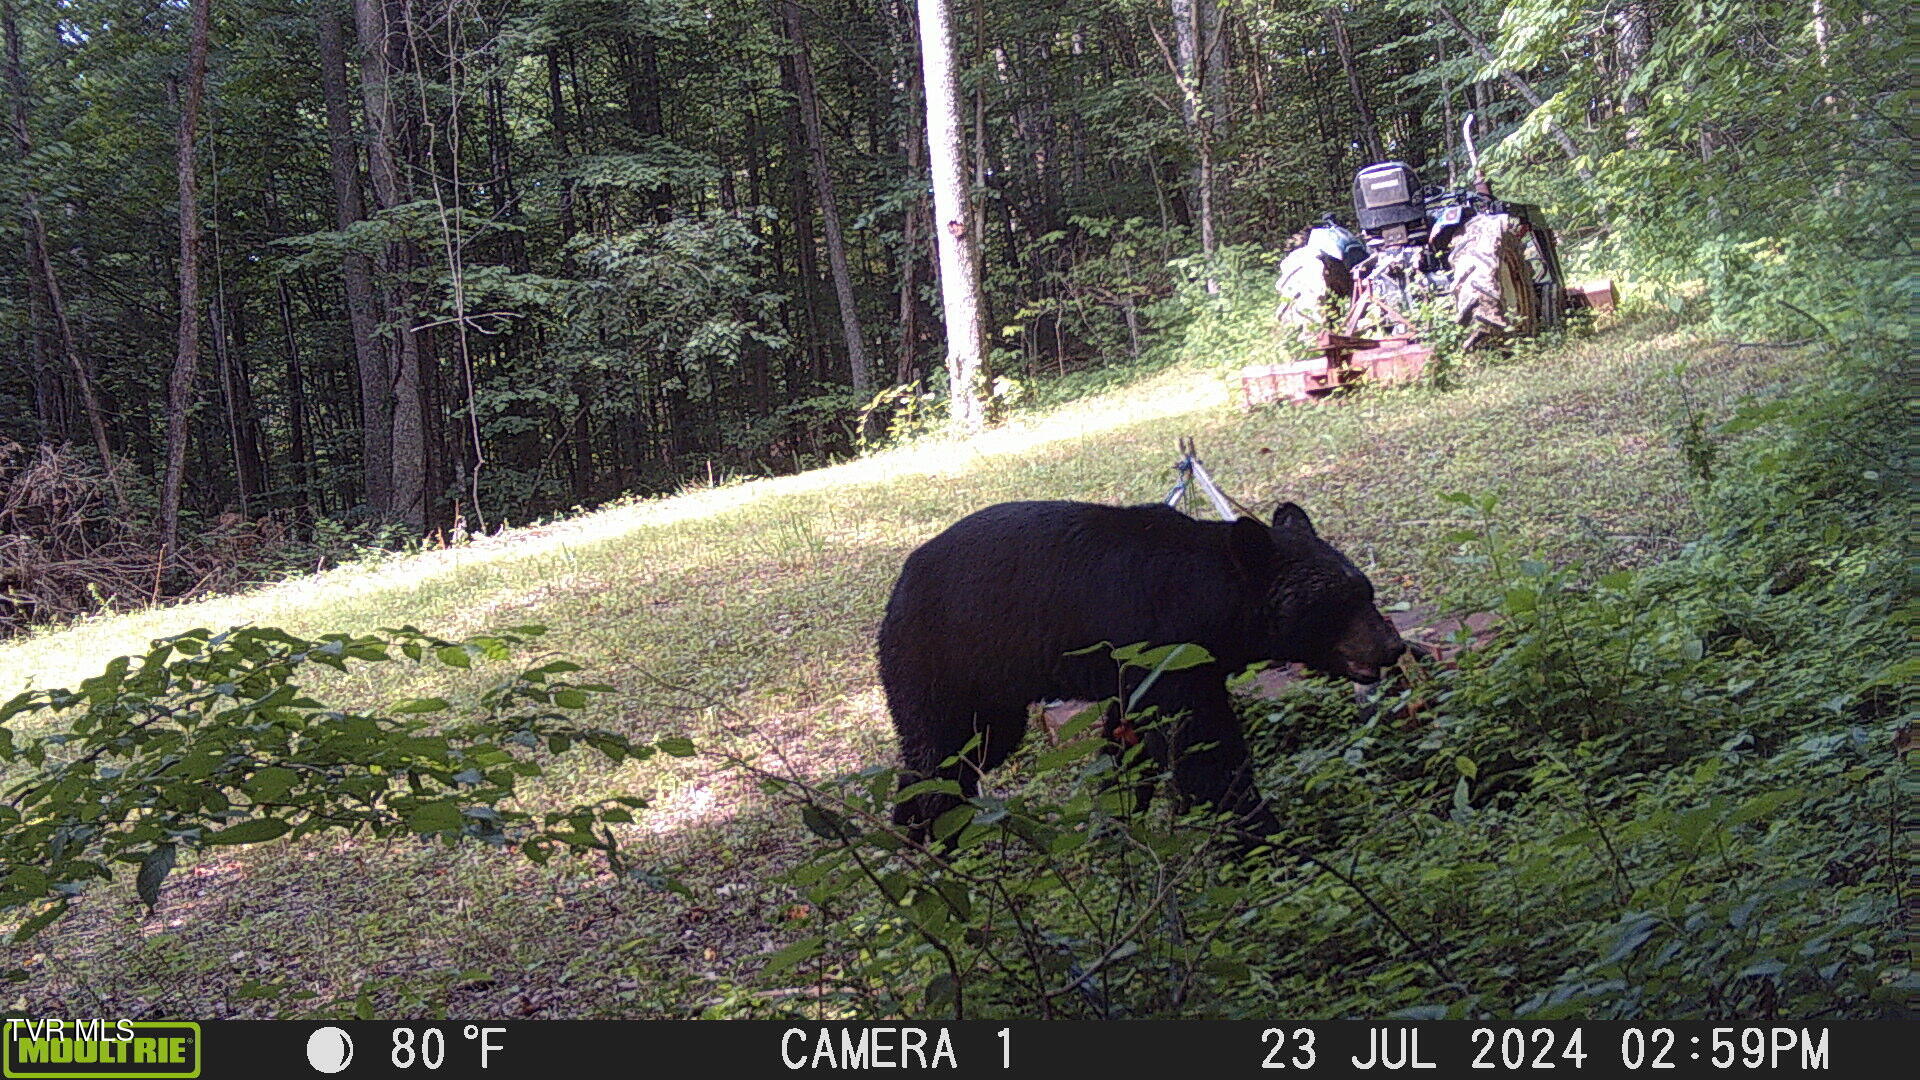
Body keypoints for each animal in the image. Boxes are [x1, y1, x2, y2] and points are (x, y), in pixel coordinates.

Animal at [877, 499, 1406, 845]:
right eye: (1335, 605)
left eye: (1365, 590)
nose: (1393, 646)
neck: (1210, 601)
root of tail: (898, 586)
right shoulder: (1161, 651)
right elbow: (1202, 751)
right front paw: (1270, 838)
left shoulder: (1150, 668)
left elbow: (1129, 742)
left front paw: (1118, 821)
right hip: (939, 657)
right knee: (939, 747)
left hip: (990, 689)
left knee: (969, 748)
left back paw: (913, 829)